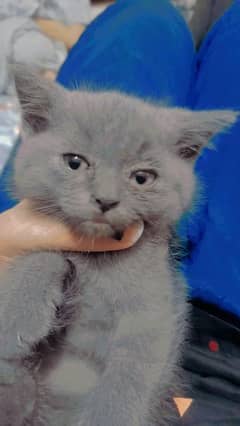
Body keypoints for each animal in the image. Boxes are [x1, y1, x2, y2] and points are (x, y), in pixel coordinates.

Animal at [0, 67, 236, 426]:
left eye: (142, 177)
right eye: (74, 162)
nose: (106, 200)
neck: (99, 261)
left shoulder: (155, 309)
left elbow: (129, 377)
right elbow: (45, 252)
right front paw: (17, 314)